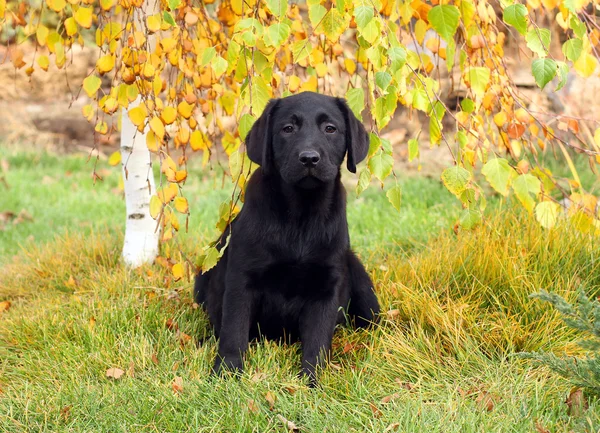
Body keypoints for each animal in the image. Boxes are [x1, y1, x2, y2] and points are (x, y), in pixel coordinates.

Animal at [195, 90, 382, 382]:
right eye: (288, 129)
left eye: (330, 129)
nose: (309, 158)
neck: (300, 214)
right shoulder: (241, 279)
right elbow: (234, 331)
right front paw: (226, 372)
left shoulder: (327, 286)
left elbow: (317, 341)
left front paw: (312, 381)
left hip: (359, 277)